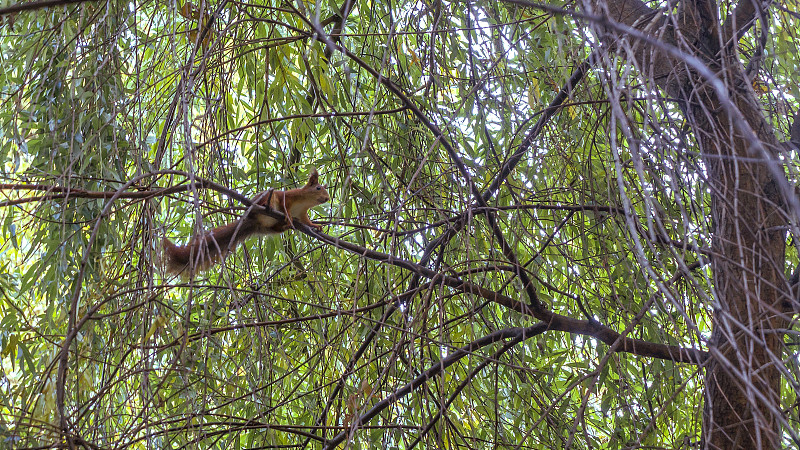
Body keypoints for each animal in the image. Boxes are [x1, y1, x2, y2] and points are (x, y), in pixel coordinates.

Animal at [163, 170, 332, 272]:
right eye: (318, 188)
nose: (327, 198)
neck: (305, 203)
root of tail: (253, 221)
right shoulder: (288, 197)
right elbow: (285, 207)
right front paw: (289, 216)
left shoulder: (302, 214)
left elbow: (306, 222)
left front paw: (316, 226)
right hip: (266, 199)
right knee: (269, 200)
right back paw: (270, 208)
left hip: (271, 228)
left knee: (278, 229)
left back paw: (285, 225)